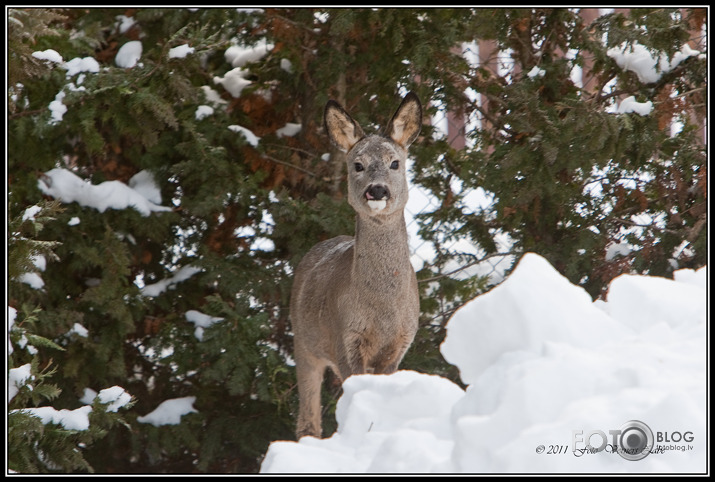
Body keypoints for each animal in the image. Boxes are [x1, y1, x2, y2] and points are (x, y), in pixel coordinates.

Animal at [292, 92, 426, 438]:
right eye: (358, 165)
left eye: (395, 163)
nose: (377, 189)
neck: (383, 310)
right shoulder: (345, 336)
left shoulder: (400, 343)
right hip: (304, 343)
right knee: (307, 418)